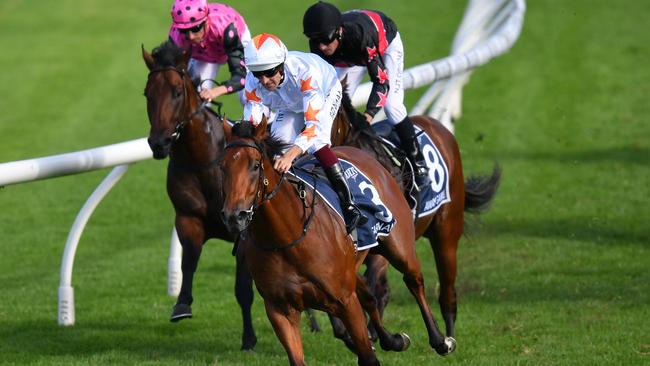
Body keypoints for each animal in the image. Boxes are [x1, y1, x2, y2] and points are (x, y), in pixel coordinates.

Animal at [220, 118, 454, 364]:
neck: (287, 239)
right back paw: (393, 340)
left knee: (414, 281)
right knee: (370, 296)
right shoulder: (279, 309)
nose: (234, 216)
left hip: (400, 248)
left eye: (255, 165)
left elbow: (368, 356)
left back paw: (440, 340)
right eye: (222, 167)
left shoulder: (345, 301)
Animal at [330, 91, 502, 340]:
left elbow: (373, 287)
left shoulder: (387, 240)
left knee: (447, 293)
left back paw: (448, 336)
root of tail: (436, 125)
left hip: (446, 234)